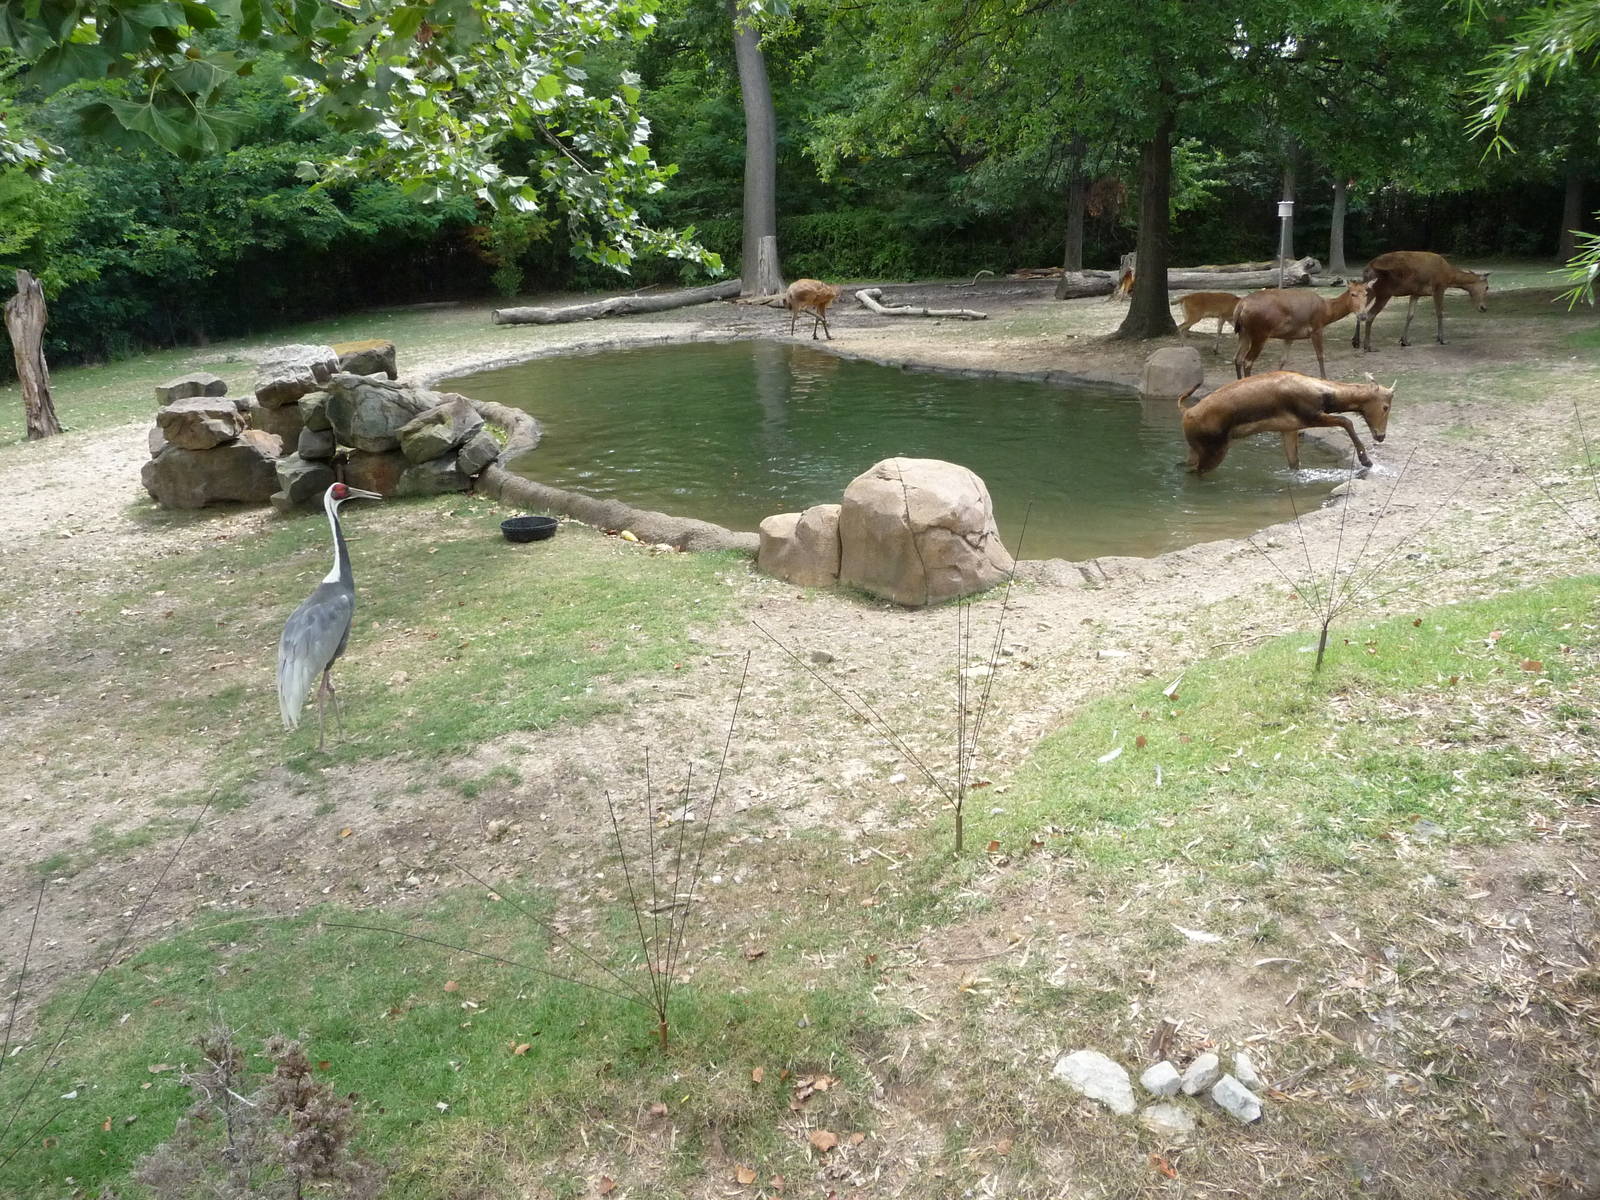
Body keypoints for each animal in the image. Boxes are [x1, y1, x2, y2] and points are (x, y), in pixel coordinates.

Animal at [1178, 371, 1395, 475]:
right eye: (1386, 407)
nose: (1380, 435)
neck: (1325, 395)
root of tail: (1186, 413)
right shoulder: (1310, 416)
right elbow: (1346, 420)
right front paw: (1366, 460)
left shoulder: (1289, 428)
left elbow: (1294, 463)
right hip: (1214, 450)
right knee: (1196, 472)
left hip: (1195, 449)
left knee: (1184, 465)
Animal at [1232, 280, 1369, 380]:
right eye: (1353, 294)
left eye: (1366, 293)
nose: (1363, 315)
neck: (1327, 312)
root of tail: (1241, 306)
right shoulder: (1316, 328)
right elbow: (1320, 355)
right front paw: (1324, 378)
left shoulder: (1289, 336)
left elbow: (1283, 360)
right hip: (1260, 333)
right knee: (1247, 361)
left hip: (1243, 332)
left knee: (1237, 358)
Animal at [1354, 251, 1489, 351]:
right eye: (1487, 287)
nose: (1484, 308)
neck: (1449, 277)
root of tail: (1367, 269)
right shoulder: (1439, 287)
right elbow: (1439, 313)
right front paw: (1442, 339)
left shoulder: (1416, 293)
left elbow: (1410, 315)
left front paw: (1404, 340)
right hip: (1384, 292)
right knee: (1370, 314)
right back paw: (1368, 346)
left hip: (1368, 291)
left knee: (1360, 311)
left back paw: (1355, 342)